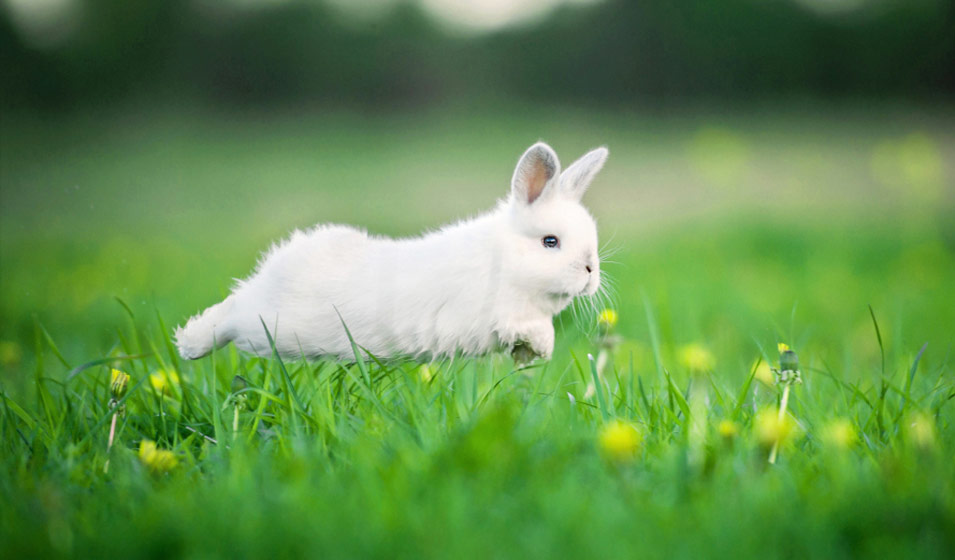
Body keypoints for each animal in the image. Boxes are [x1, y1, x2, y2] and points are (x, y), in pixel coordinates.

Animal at [175, 141, 608, 363]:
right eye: (550, 242)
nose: (590, 271)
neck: (505, 261)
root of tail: (275, 267)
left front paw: (530, 359)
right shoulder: (501, 313)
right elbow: (532, 327)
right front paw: (542, 348)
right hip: (273, 326)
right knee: (233, 314)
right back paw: (189, 344)